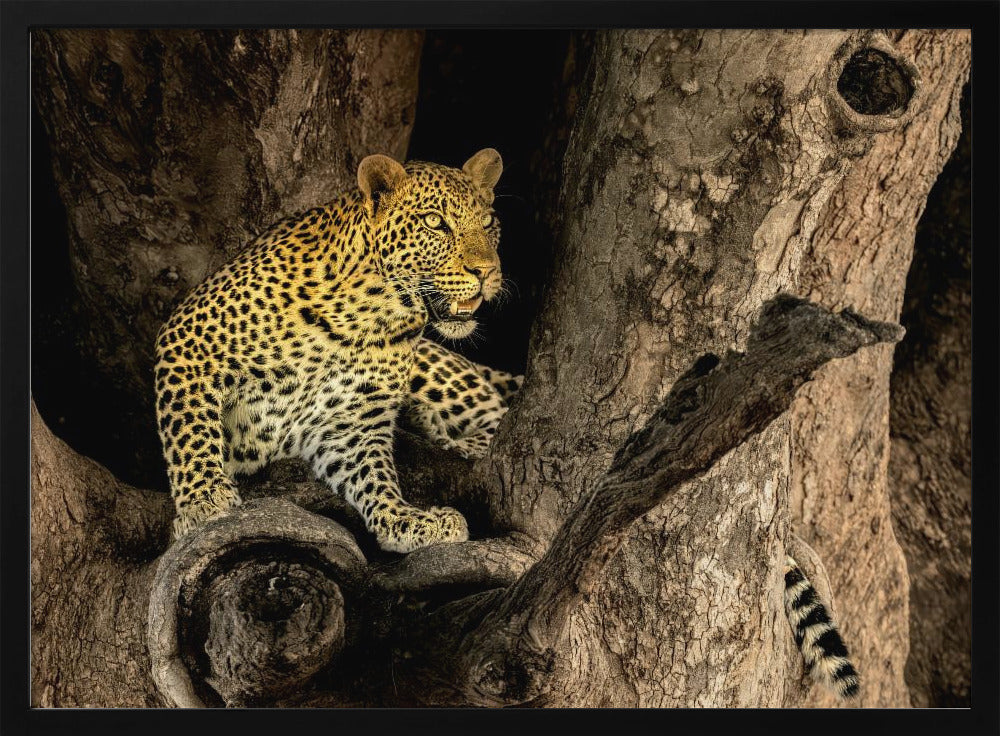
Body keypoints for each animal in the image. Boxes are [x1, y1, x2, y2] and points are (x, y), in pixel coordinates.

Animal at [154, 148, 522, 553]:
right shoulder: (189, 339)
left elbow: (374, 475)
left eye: (488, 222)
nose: (486, 271)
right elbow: (190, 429)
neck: (368, 312)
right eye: (434, 222)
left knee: (495, 416)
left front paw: (405, 519)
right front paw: (203, 502)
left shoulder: (349, 421)